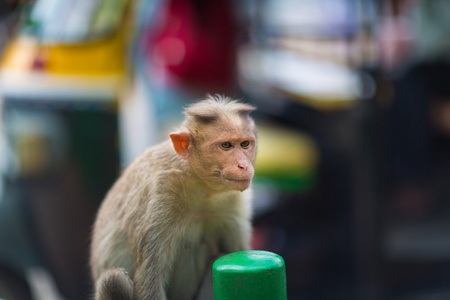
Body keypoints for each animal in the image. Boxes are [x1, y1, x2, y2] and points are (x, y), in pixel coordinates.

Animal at [89, 96, 256, 300]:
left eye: (245, 144)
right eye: (226, 145)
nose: (243, 165)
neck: (200, 186)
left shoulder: (234, 202)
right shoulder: (160, 195)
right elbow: (149, 281)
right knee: (113, 279)